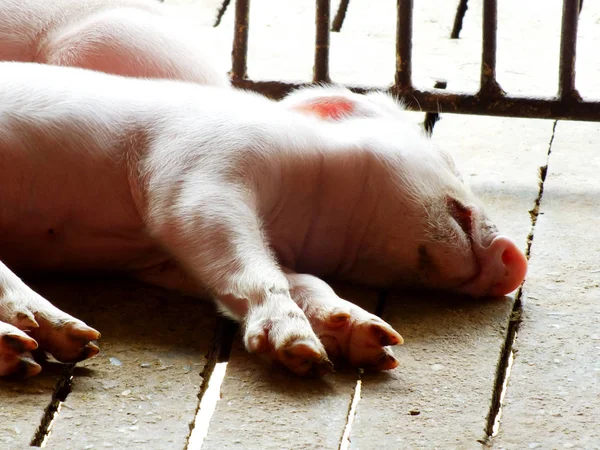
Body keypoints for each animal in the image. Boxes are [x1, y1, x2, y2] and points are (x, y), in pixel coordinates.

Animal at [0, 61, 528, 378]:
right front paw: (302, 353)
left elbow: (292, 279)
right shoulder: (197, 175)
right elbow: (249, 262)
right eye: (450, 158)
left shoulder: (164, 259)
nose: (516, 261)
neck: (294, 214)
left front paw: (376, 343)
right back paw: (61, 344)